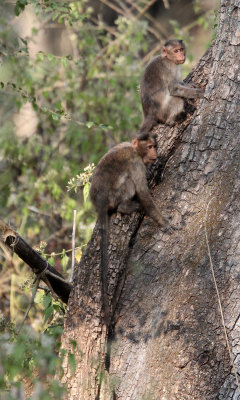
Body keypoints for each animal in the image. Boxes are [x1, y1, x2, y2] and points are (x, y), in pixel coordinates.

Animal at [90, 133, 171, 324]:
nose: (155, 153)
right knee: (129, 184)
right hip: (116, 194)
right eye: (149, 146)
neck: (134, 150)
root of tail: (101, 202)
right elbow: (142, 191)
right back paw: (125, 207)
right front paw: (162, 221)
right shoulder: (136, 164)